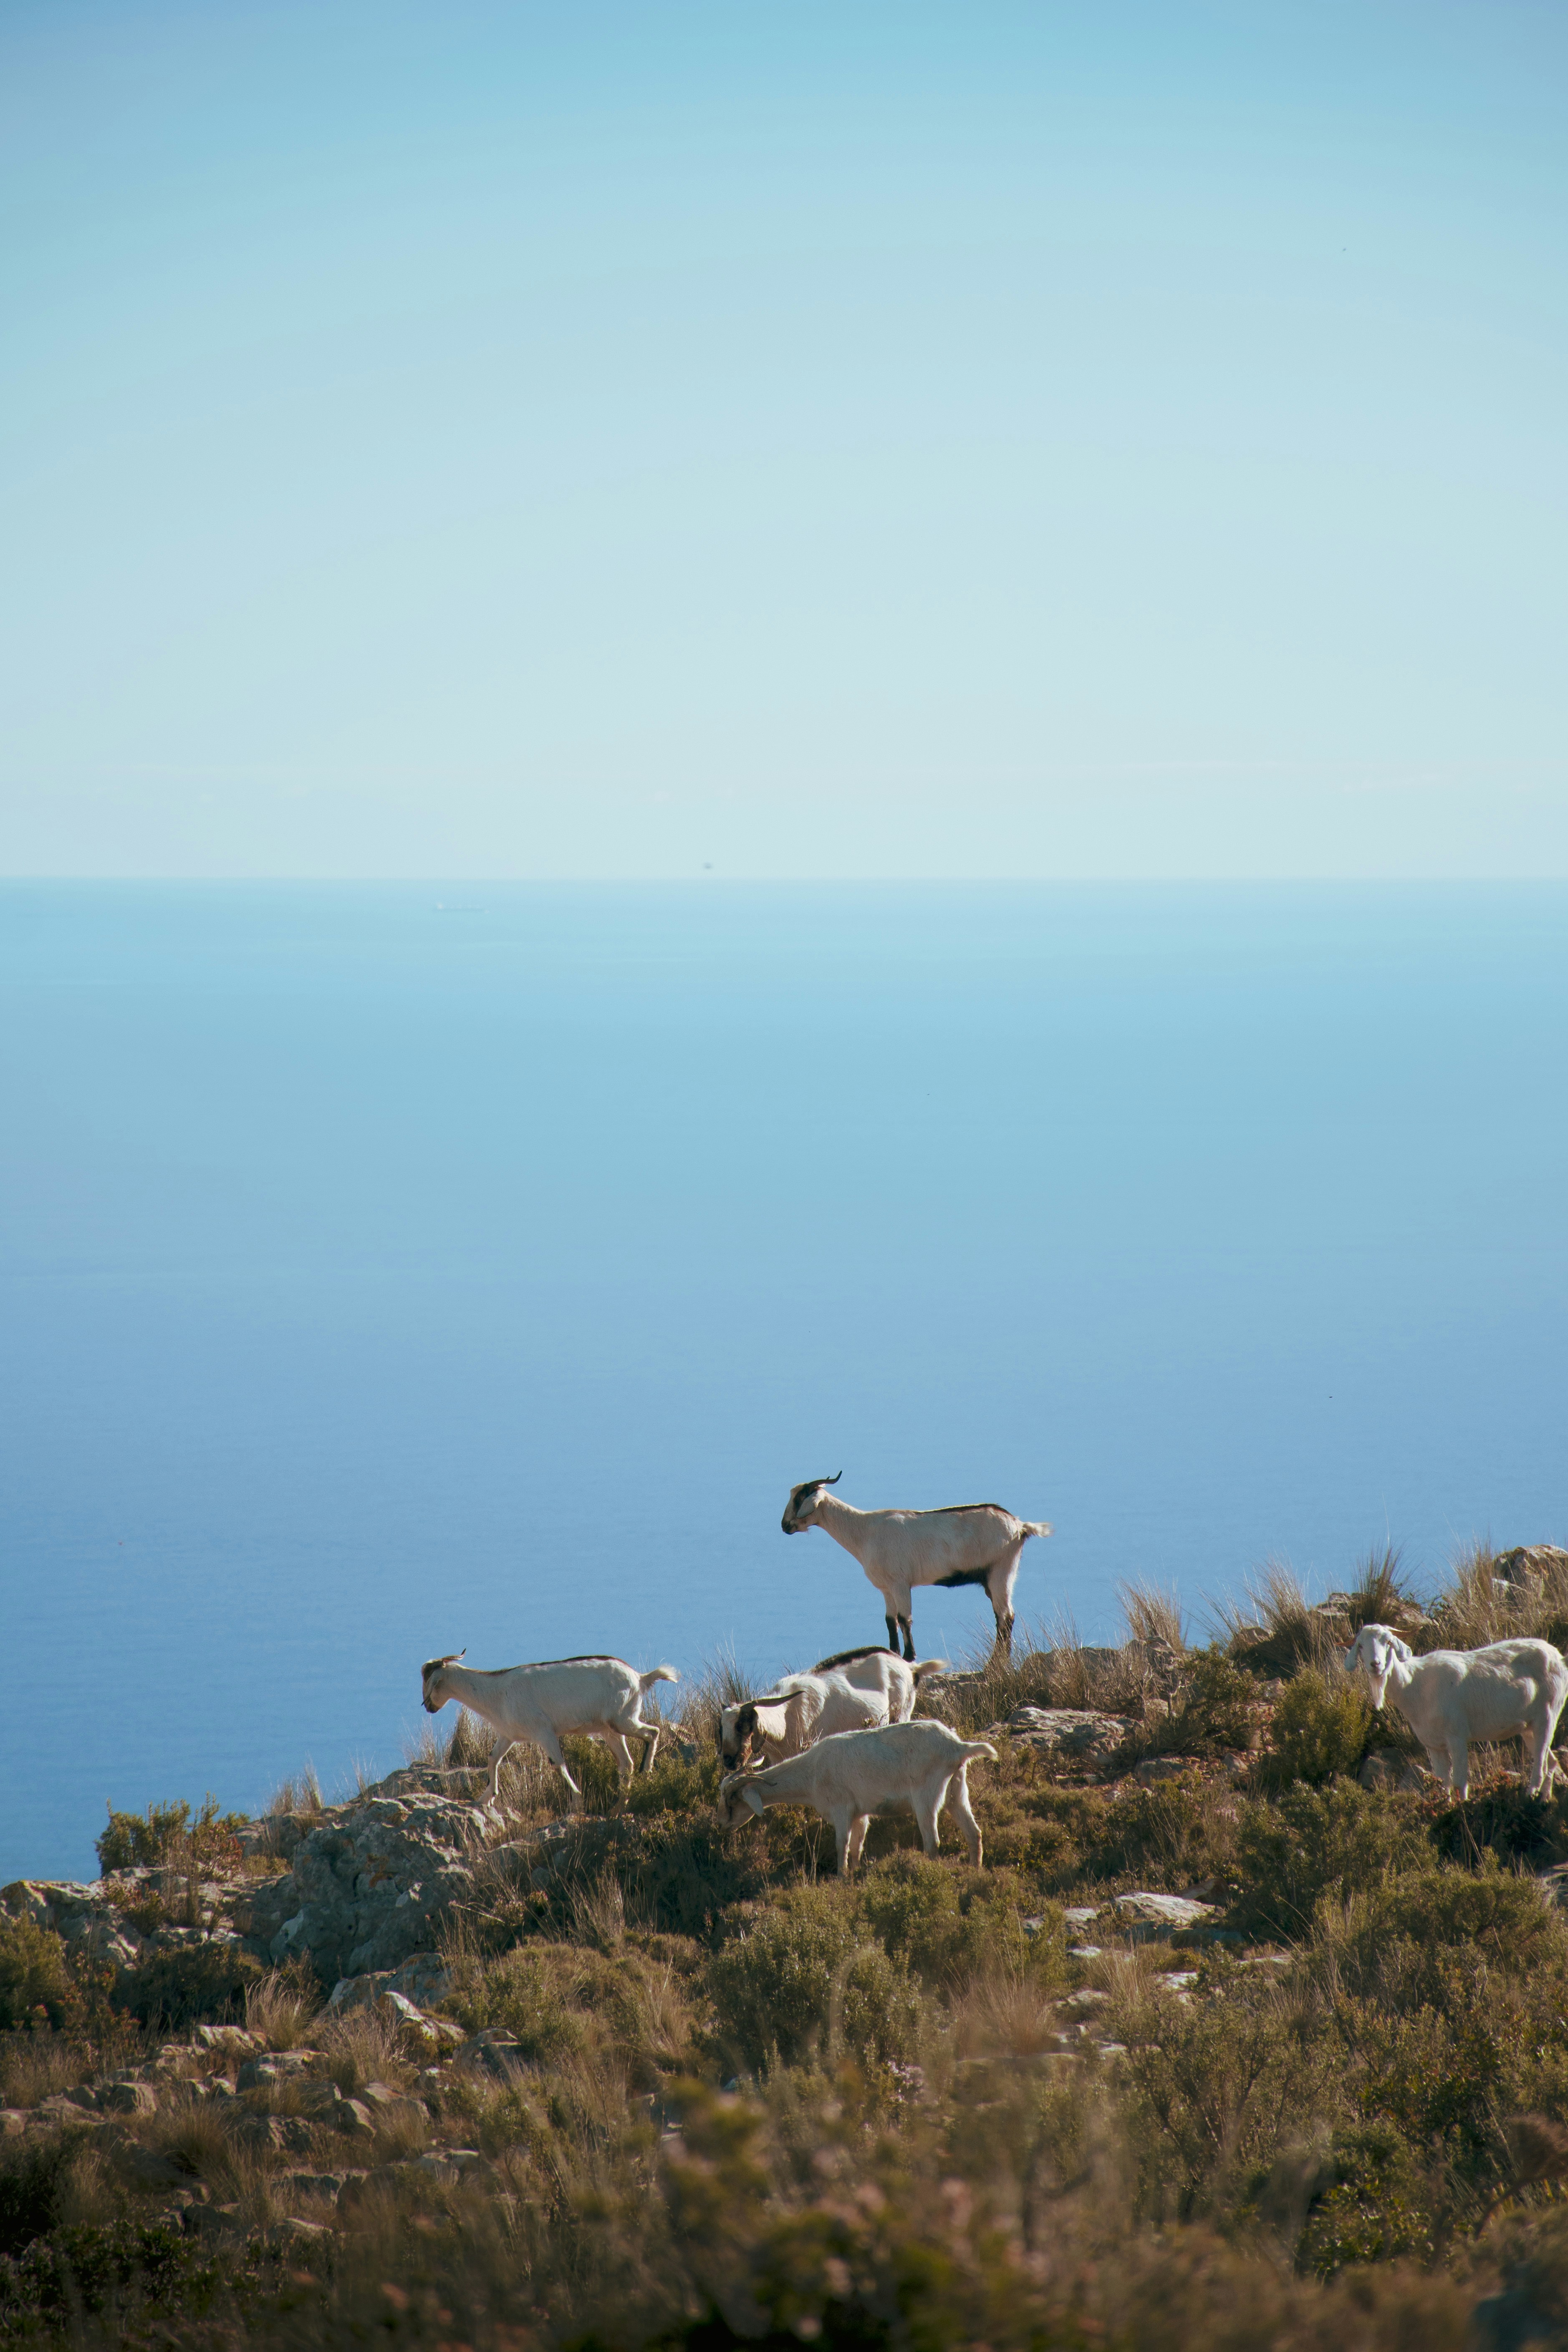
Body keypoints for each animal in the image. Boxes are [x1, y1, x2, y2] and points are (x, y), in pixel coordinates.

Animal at [422, 1651, 678, 1810]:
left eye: (427, 1679)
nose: (429, 1707)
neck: (498, 1693)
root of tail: (640, 1678)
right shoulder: (509, 1735)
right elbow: (493, 1758)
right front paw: (486, 1798)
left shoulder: (544, 1732)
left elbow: (558, 1765)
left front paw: (576, 1803)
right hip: (610, 1731)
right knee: (626, 1764)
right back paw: (617, 1808)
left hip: (622, 1719)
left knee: (653, 1733)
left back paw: (647, 1770)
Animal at [717, 1718, 998, 1875]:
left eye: (732, 1801)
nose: (721, 1825)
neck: (812, 1772)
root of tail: (958, 1747)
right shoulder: (860, 1814)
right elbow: (856, 1847)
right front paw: (854, 1876)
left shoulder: (841, 1809)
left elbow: (841, 1845)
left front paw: (841, 1878)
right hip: (957, 1792)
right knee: (974, 1833)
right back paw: (975, 1872)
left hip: (926, 1796)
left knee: (933, 1843)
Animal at [781, 1474, 1051, 1658]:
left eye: (799, 1499)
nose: (785, 1526)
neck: (865, 1531)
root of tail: (1020, 1526)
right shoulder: (887, 1588)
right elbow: (890, 1620)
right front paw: (893, 1655)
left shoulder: (901, 1583)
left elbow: (905, 1619)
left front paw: (909, 1658)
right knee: (1001, 1615)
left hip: (1002, 1571)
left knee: (1006, 1616)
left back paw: (996, 1663)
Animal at [1342, 1622, 1568, 1800]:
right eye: (1361, 1646)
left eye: (1388, 1642)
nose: (1376, 1665)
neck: (1416, 1685)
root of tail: (1558, 1657)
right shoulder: (1434, 1746)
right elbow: (1444, 1784)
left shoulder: (1457, 1737)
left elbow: (1460, 1781)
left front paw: (1462, 1807)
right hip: (1528, 1728)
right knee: (1550, 1762)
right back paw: (1544, 1800)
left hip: (1548, 1714)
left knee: (1541, 1762)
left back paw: (1530, 1795)